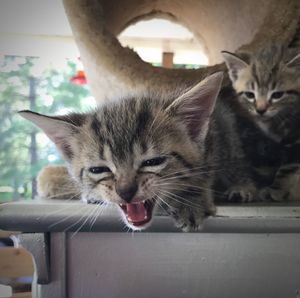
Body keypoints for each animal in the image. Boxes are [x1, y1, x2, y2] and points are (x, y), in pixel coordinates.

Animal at [221, 45, 300, 201]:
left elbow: (287, 167)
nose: (260, 110)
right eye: (250, 95)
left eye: (277, 95)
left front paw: (276, 190)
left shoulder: (296, 139)